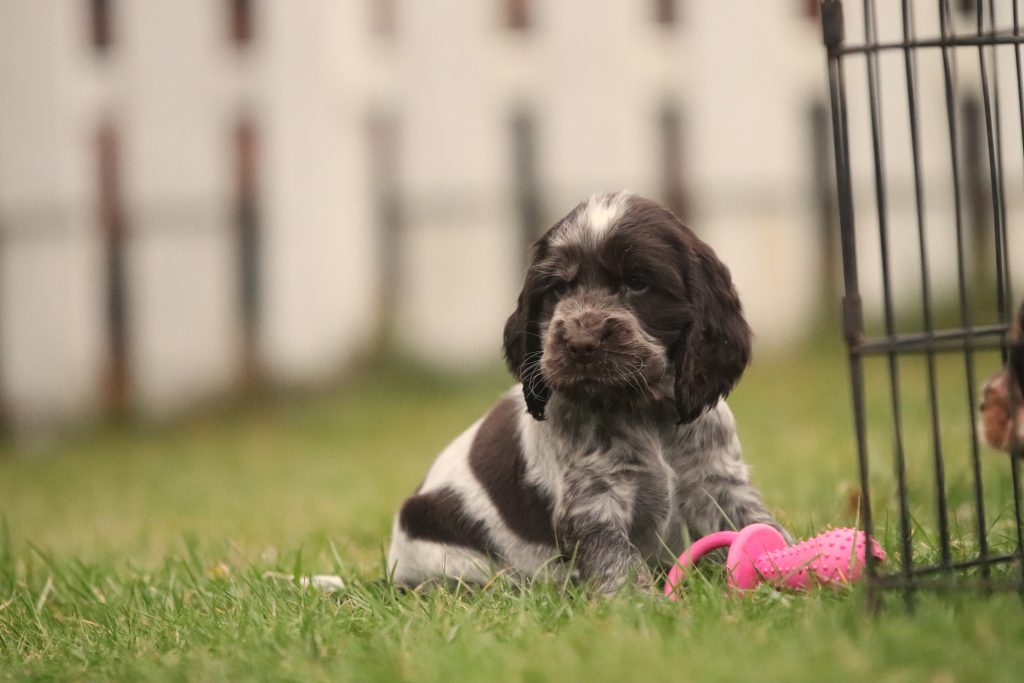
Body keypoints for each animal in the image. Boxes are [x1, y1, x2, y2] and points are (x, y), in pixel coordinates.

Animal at [385, 193, 782, 593]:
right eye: (559, 289)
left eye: (638, 282)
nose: (579, 343)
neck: (645, 412)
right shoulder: (592, 501)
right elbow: (618, 564)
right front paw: (641, 602)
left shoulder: (718, 481)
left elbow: (755, 522)